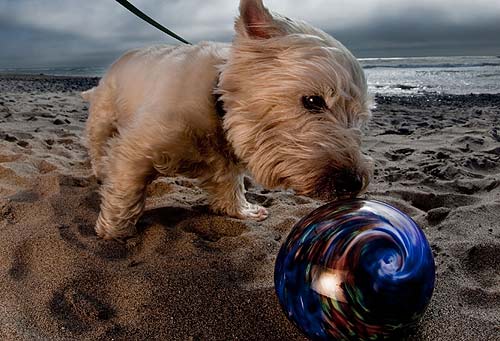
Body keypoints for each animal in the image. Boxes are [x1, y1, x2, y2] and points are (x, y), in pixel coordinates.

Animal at [82, 0, 374, 239]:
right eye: (313, 101)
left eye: (360, 119)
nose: (352, 184)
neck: (217, 101)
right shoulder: (135, 148)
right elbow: (126, 190)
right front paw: (114, 232)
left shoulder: (227, 157)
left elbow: (230, 183)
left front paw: (241, 210)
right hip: (104, 113)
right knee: (97, 144)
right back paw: (100, 171)